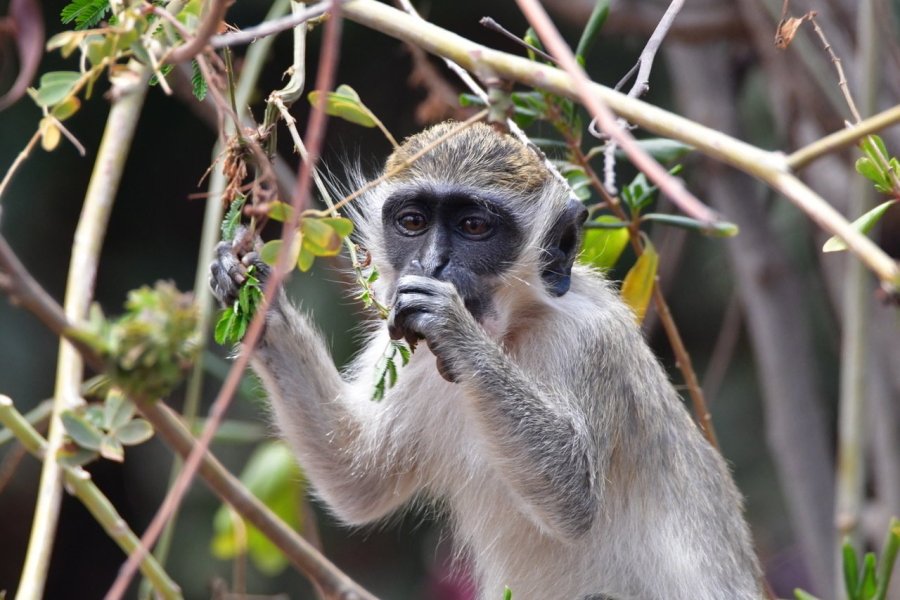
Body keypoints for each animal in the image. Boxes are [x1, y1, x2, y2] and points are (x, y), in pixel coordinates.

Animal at [213, 123, 768, 600]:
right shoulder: (405, 355)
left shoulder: (592, 342)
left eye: (474, 227)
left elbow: (575, 496)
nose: (431, 264)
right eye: (412, 222)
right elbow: (356, 475)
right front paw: (253, 293)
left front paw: (452, 326)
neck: (511, 334)